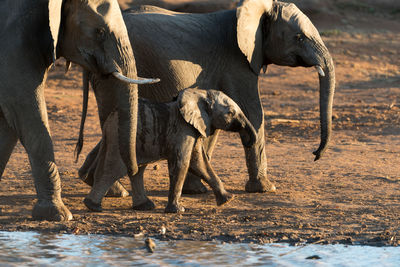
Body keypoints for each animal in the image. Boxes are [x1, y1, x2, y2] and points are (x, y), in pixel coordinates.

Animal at [0, 0, 159, 222]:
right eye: (100, 32)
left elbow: (8, 124)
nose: (136, 168)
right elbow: (24, 110)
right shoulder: (14, 42)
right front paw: (57, 214)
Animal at [77, 0, 334, 199]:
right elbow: (253, 112)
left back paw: (96, 182)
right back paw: (113, 189)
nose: (315, 154)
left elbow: (214, 122)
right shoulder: (237, 61)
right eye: (299, 37)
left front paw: (196, 189)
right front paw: (265, 189)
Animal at [84, 89, 256, 215]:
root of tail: (108, 122)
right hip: (119, 139)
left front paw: (228, 199)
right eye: (230, 113)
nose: (247, 141)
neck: (199, 93)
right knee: (114, 169)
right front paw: (178, 211)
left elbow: (199, 163)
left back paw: (145, 207)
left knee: (137, 171)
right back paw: (93, 207)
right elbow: (183, 163)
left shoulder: (193, 129)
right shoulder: (182, 129)